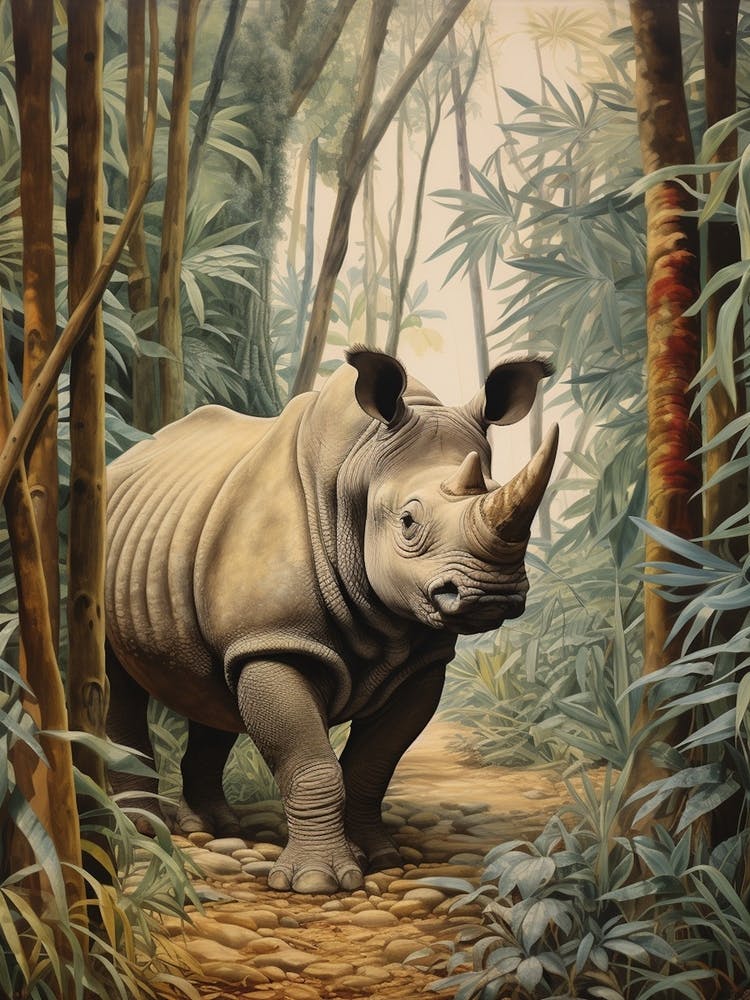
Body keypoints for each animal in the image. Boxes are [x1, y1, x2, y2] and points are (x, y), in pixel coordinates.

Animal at [105, 348, 557, 893]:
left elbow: (372, 765)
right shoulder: (276, 640)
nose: (491, 592)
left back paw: (213, 826)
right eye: (408, 521)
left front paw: (379, 856)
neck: (357, 472)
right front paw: (316, 882)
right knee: (121, 679)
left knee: (212, 685)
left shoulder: (421, 663)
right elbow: (311, 764)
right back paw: (142, 830)